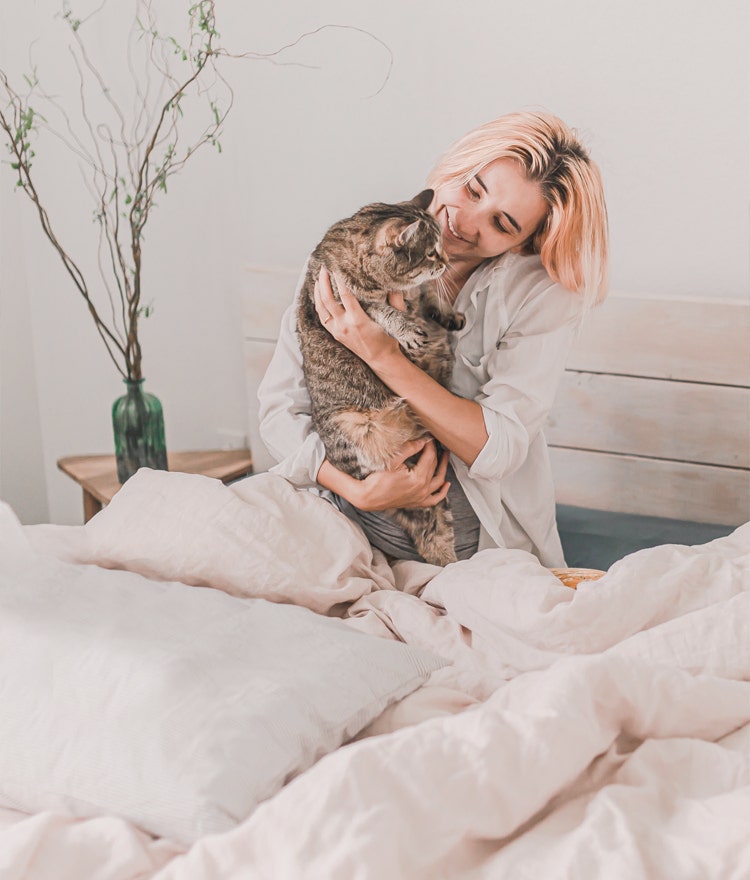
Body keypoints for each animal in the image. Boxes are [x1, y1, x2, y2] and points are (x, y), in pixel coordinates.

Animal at [298, 189, 464, 568]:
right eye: (431, 252)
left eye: (442, 246)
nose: (447, 260)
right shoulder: (350, 302)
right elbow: (384, 311)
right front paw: (406, 328)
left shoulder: (418, 292)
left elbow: (428, 293)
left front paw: (448, 314)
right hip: (353, 432)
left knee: (437, 536)